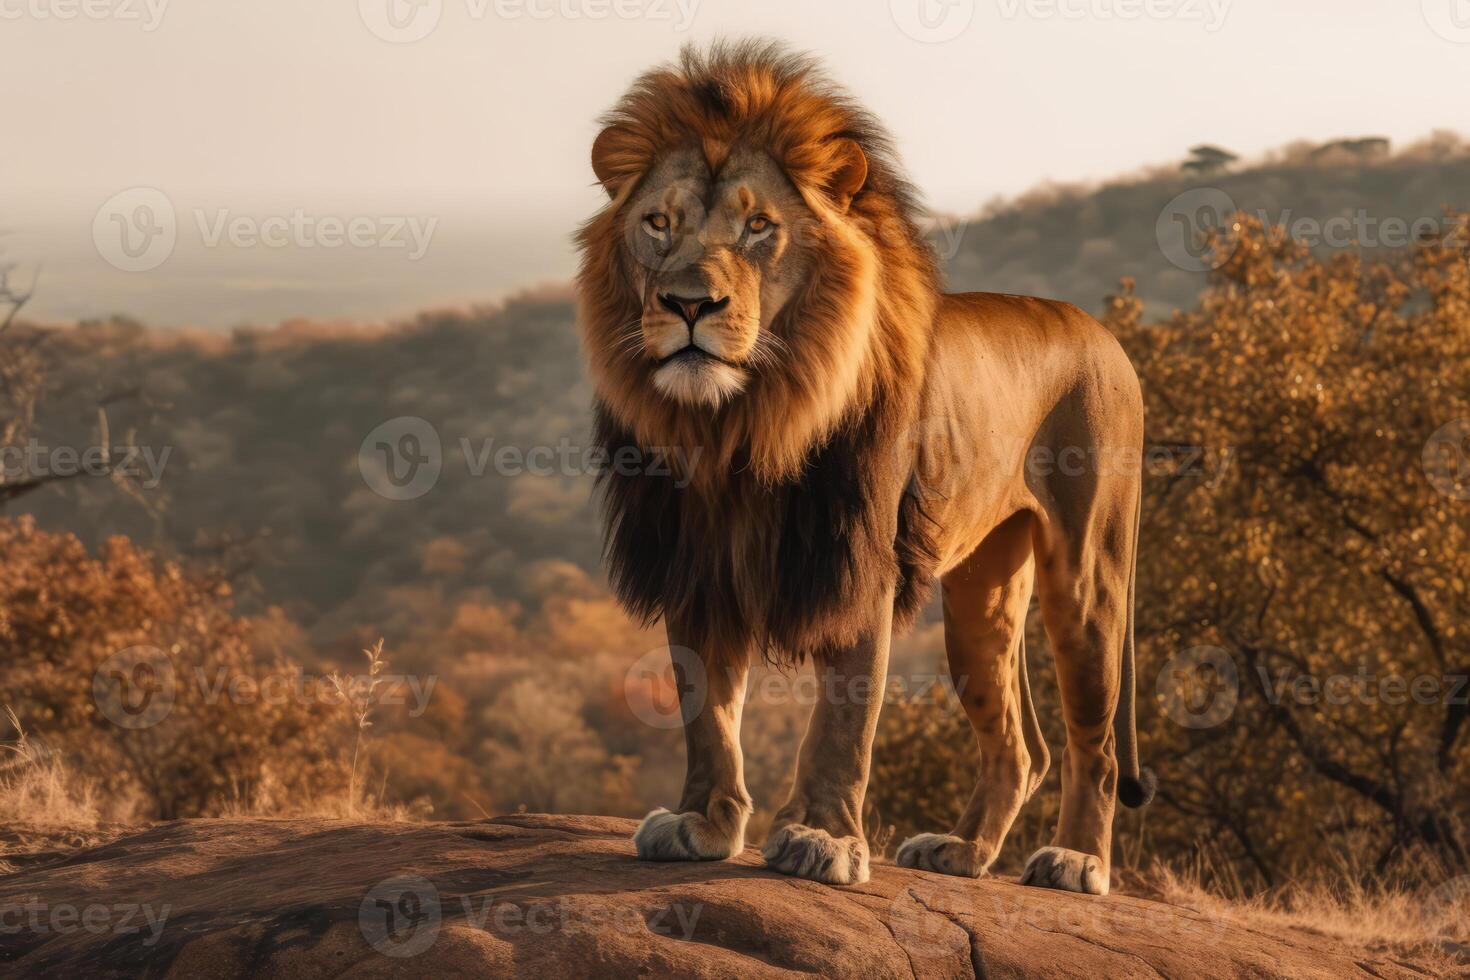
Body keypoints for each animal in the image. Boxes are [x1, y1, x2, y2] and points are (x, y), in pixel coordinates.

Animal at [576, 40, 1158, 899]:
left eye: (759, 226)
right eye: (658, 223)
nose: (688, 304)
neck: (741, 423)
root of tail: (1104, 333)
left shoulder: (856, 559)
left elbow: (841, 719)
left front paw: (821, 838)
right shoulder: (696, 563)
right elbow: (705, 709)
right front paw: (702, 823)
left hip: (1088, 577)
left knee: (1097, 742)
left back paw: (1077, 861)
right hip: (982, 595)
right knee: (1022, 747)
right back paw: (962, 850)